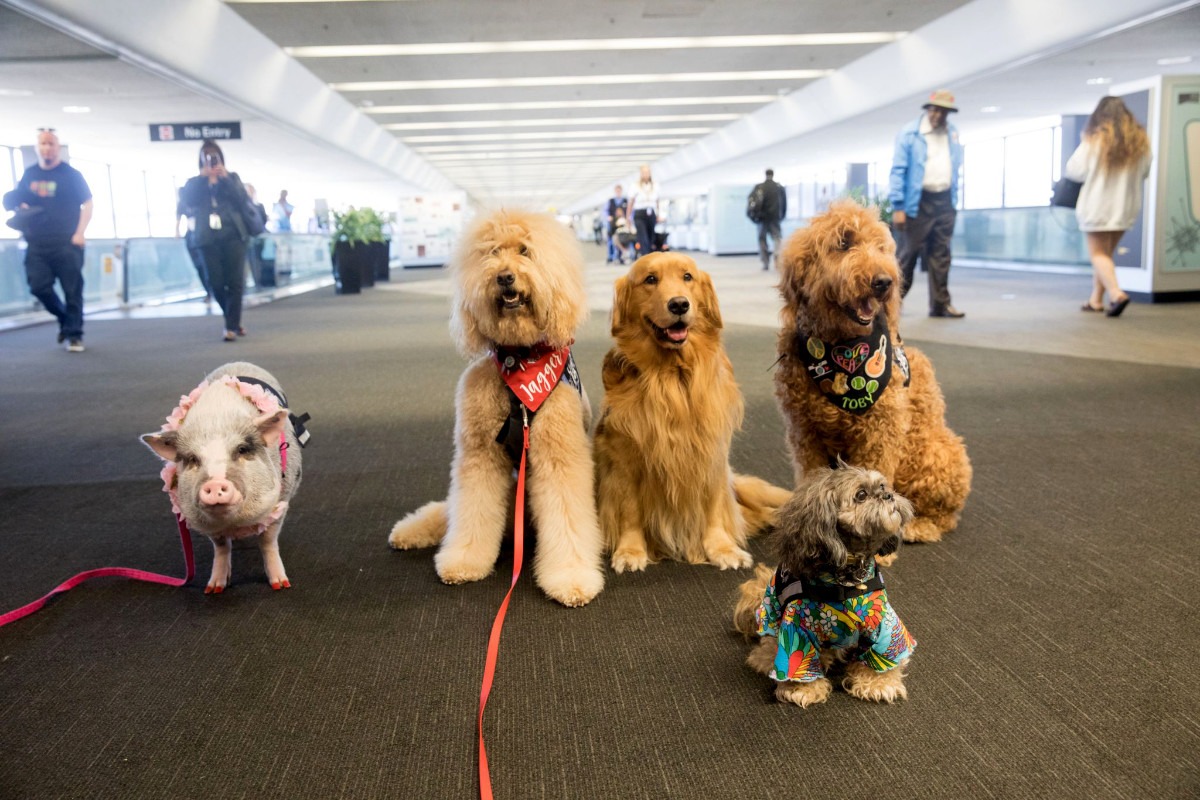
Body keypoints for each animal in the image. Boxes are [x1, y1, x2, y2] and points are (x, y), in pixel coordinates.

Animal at [729, 465, 916, 710]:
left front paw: (878, 683)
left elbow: (884, 654)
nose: (888, 496)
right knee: (769, 647)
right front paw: (801, 688)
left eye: (883, 486)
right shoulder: (796, 628)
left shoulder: (883, 623)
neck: (847, 577)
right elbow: (799, 659)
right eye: (861, 495)